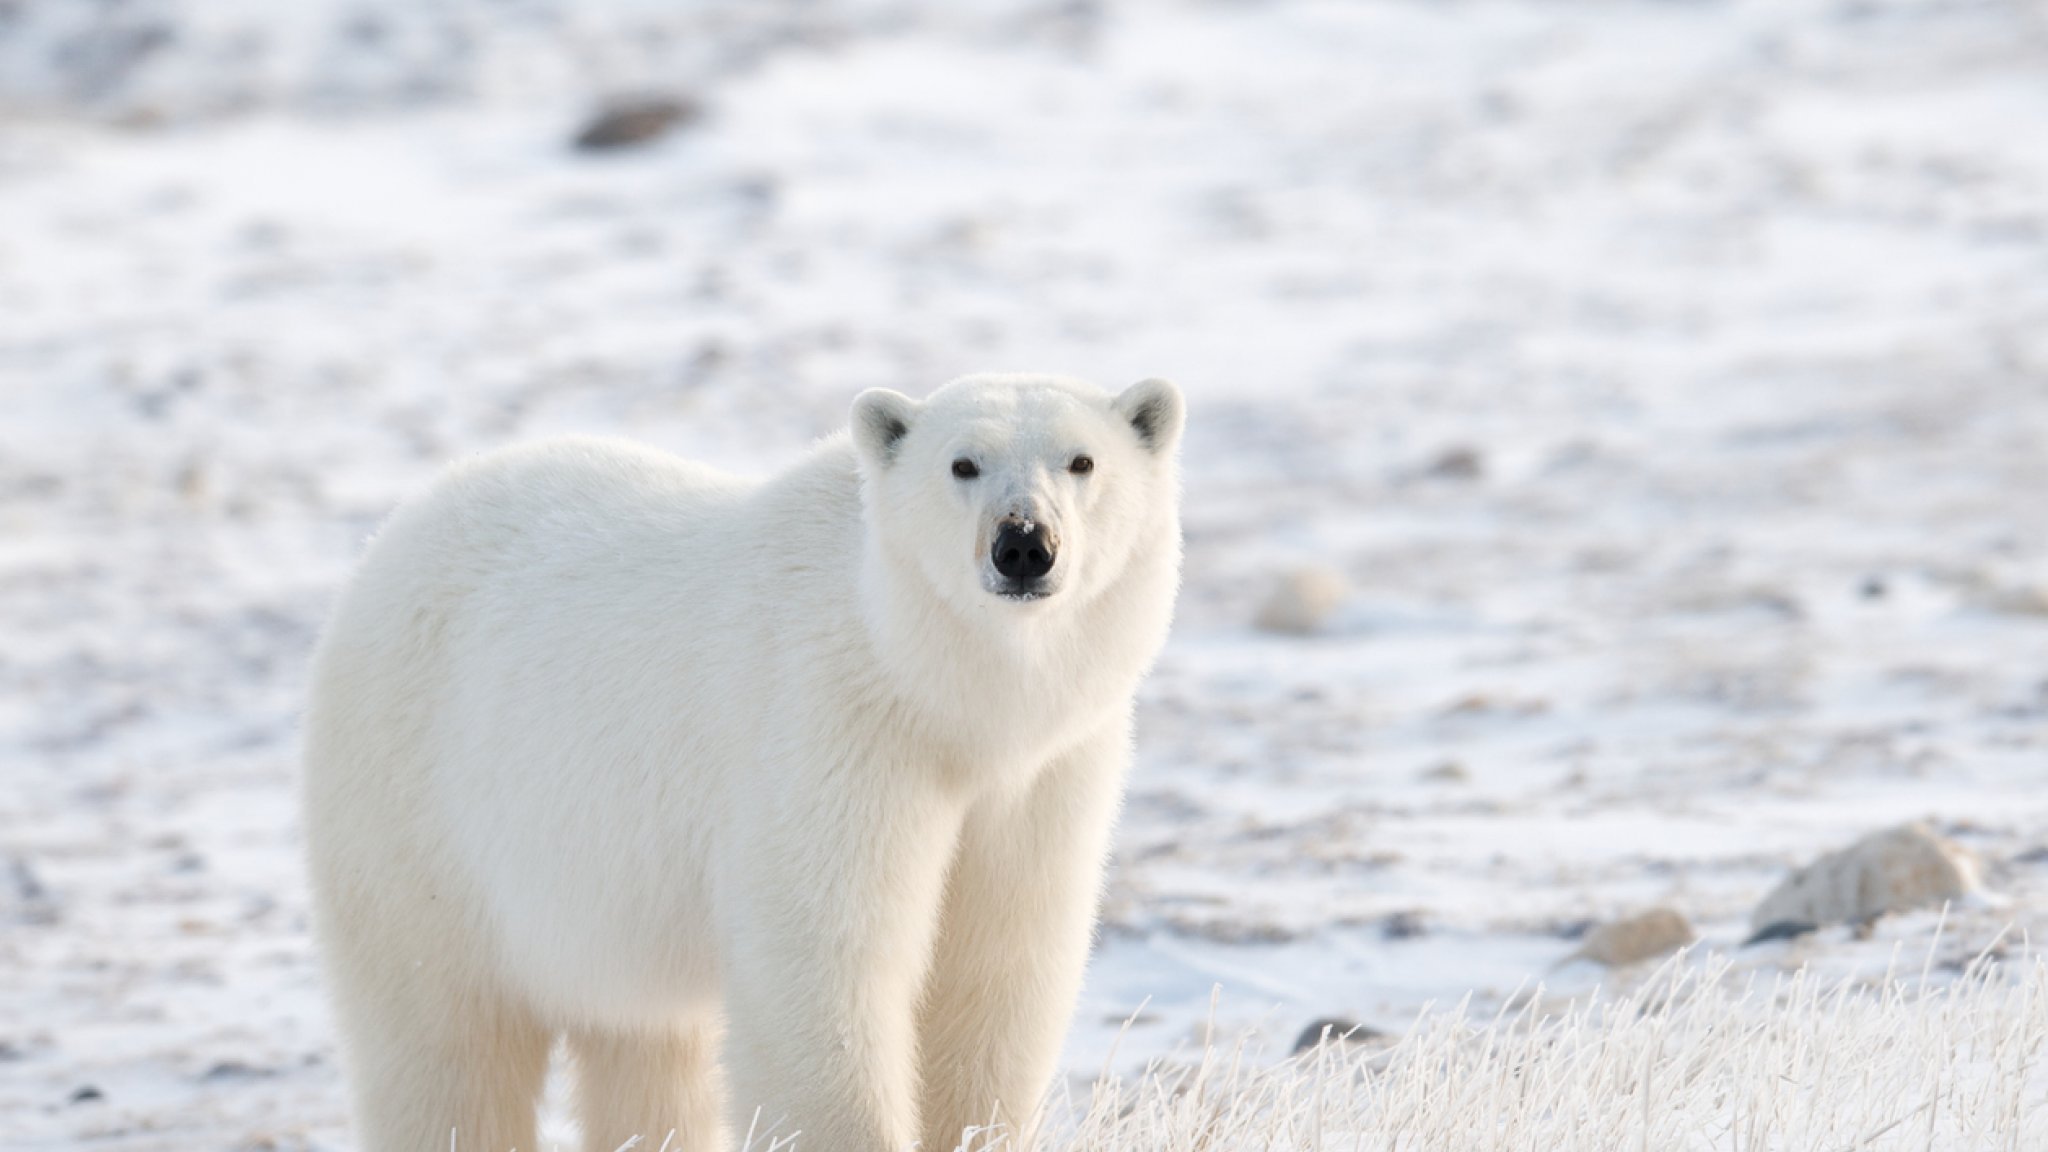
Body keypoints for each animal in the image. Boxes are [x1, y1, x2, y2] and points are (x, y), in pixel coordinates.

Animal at [301, 373, 1187, 1139]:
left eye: (1082, 461)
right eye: (962, 463)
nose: (1024, 544)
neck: (941, 696)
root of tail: (390, 538)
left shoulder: (1043, 774)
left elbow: (996, 972)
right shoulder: (829, 731)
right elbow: (824, 966)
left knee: (648, 1051)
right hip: (420, 821)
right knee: (444, 1044)